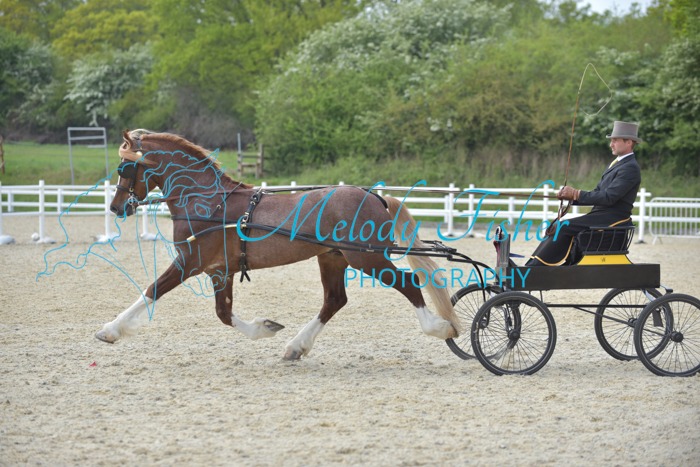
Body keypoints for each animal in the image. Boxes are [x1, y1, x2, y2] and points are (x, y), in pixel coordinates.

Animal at [97, 129, 460, 360]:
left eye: (124, 167)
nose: (116, 207)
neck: (208, 201)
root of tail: (376, 197)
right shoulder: (219, 270)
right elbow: (224, 313)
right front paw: (266, 328)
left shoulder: (190, 262)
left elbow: (151, 290)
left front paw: (109, 330)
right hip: (333, 258)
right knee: (334, 300)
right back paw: (296, 347)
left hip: (366, 259)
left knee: (408, 283)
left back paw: (441, 327)